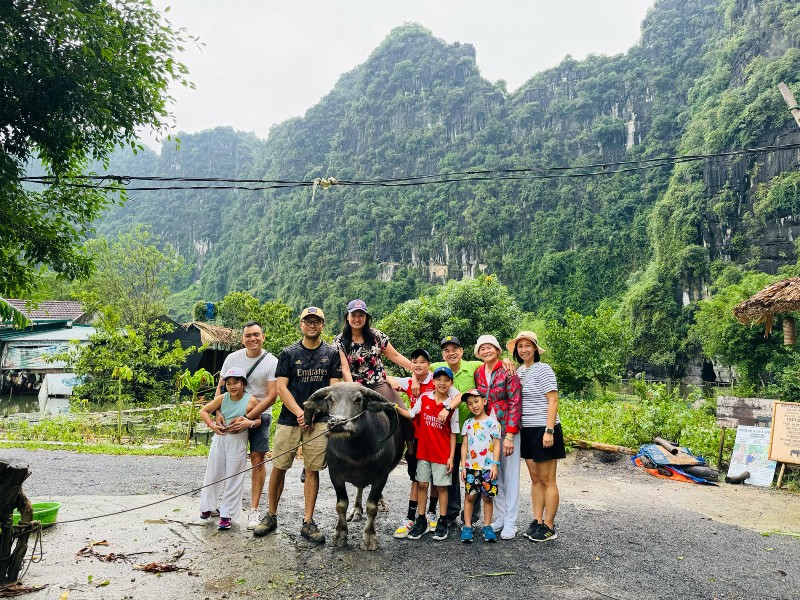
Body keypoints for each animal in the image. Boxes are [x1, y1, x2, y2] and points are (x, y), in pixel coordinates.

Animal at [306, 384, 406, 548]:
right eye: (329, 399)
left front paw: (369, 537)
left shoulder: (381, 476)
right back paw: (357, 511)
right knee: (359, 489)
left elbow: (372, 506)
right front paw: (340, 534)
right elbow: (341, 504)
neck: (356, 453)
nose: (337, 422)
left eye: (358, 399)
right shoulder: (335, 475)